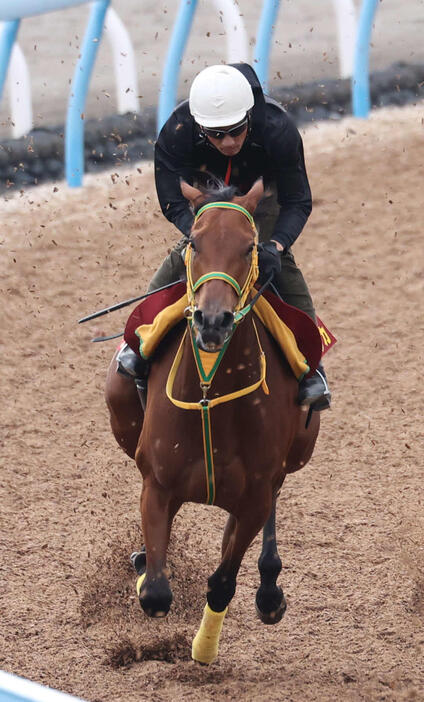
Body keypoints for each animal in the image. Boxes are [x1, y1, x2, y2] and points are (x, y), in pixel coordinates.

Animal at [105, 179, 318, 664]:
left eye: (250, 246)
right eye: (195, 243)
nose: (214, 320)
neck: (209, 394)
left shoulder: (256, 494)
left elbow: (222, 581)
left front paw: (203, 650)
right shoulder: (157, 483)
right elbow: (156, 593)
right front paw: (144, 565)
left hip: (293, 458)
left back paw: (269, 589)